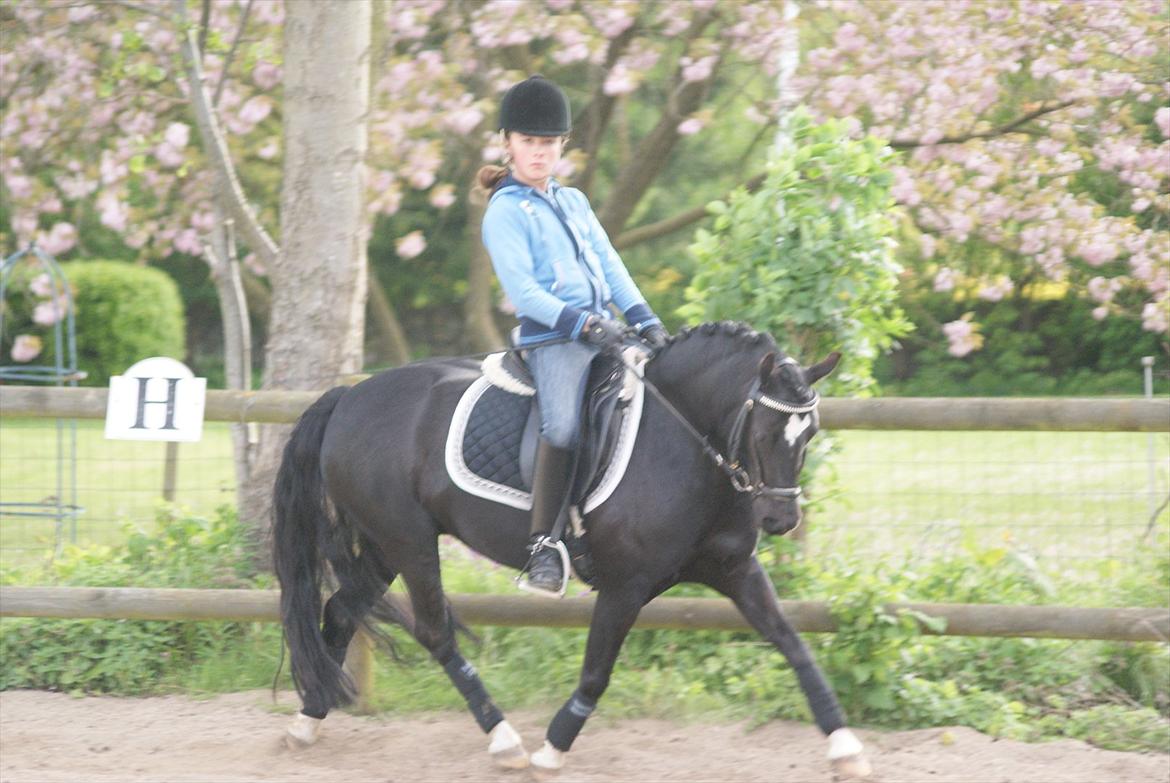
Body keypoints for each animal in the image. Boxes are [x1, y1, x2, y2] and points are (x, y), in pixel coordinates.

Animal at [272, 321, 872, 779]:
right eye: (766, 431)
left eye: (810, 432)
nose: (781, 520)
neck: (685, 442)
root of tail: (350, 396)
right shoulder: (625, 586)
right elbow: (596, 673)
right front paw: (552, 747)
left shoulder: (733, 568)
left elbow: (793, 643)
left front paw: (845, 746)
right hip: (410, 542)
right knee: (435, 633)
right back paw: (505, 740)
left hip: (383, 546)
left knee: (340, 611)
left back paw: (307, 718)